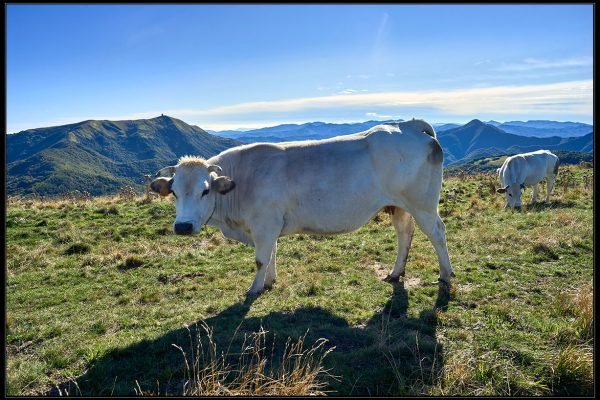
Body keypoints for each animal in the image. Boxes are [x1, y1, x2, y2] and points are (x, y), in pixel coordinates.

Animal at [151, 119, 454, 294]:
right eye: (174, 192)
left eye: (205, 190)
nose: (183, 226)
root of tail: (408, 125)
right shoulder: (268, 226)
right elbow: (271, 255)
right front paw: (269, 282)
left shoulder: (264, 224)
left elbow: (260, 259)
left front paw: (253, 289)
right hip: (399, 205)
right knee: (405, 233)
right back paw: (395, 273)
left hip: (423, 204)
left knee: (438, 233)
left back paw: (445, 275)